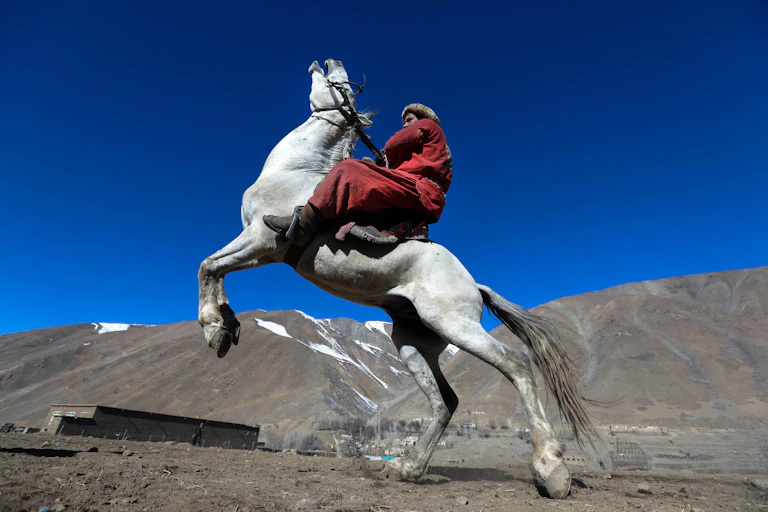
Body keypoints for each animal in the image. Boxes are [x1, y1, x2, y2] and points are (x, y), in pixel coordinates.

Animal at [197, 58, 599, 499]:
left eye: (343, 86)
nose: (329, 61)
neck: (297, 171)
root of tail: (473, 285)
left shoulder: (260, 239)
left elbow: (208, 265)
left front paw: (214, 327)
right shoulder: (261, 251)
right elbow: (216, 268)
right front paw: (225, 326)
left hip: (455, 325)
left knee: (517, 366)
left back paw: (551, 469)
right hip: (414, 343)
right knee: (445, 402)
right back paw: (408, 468)